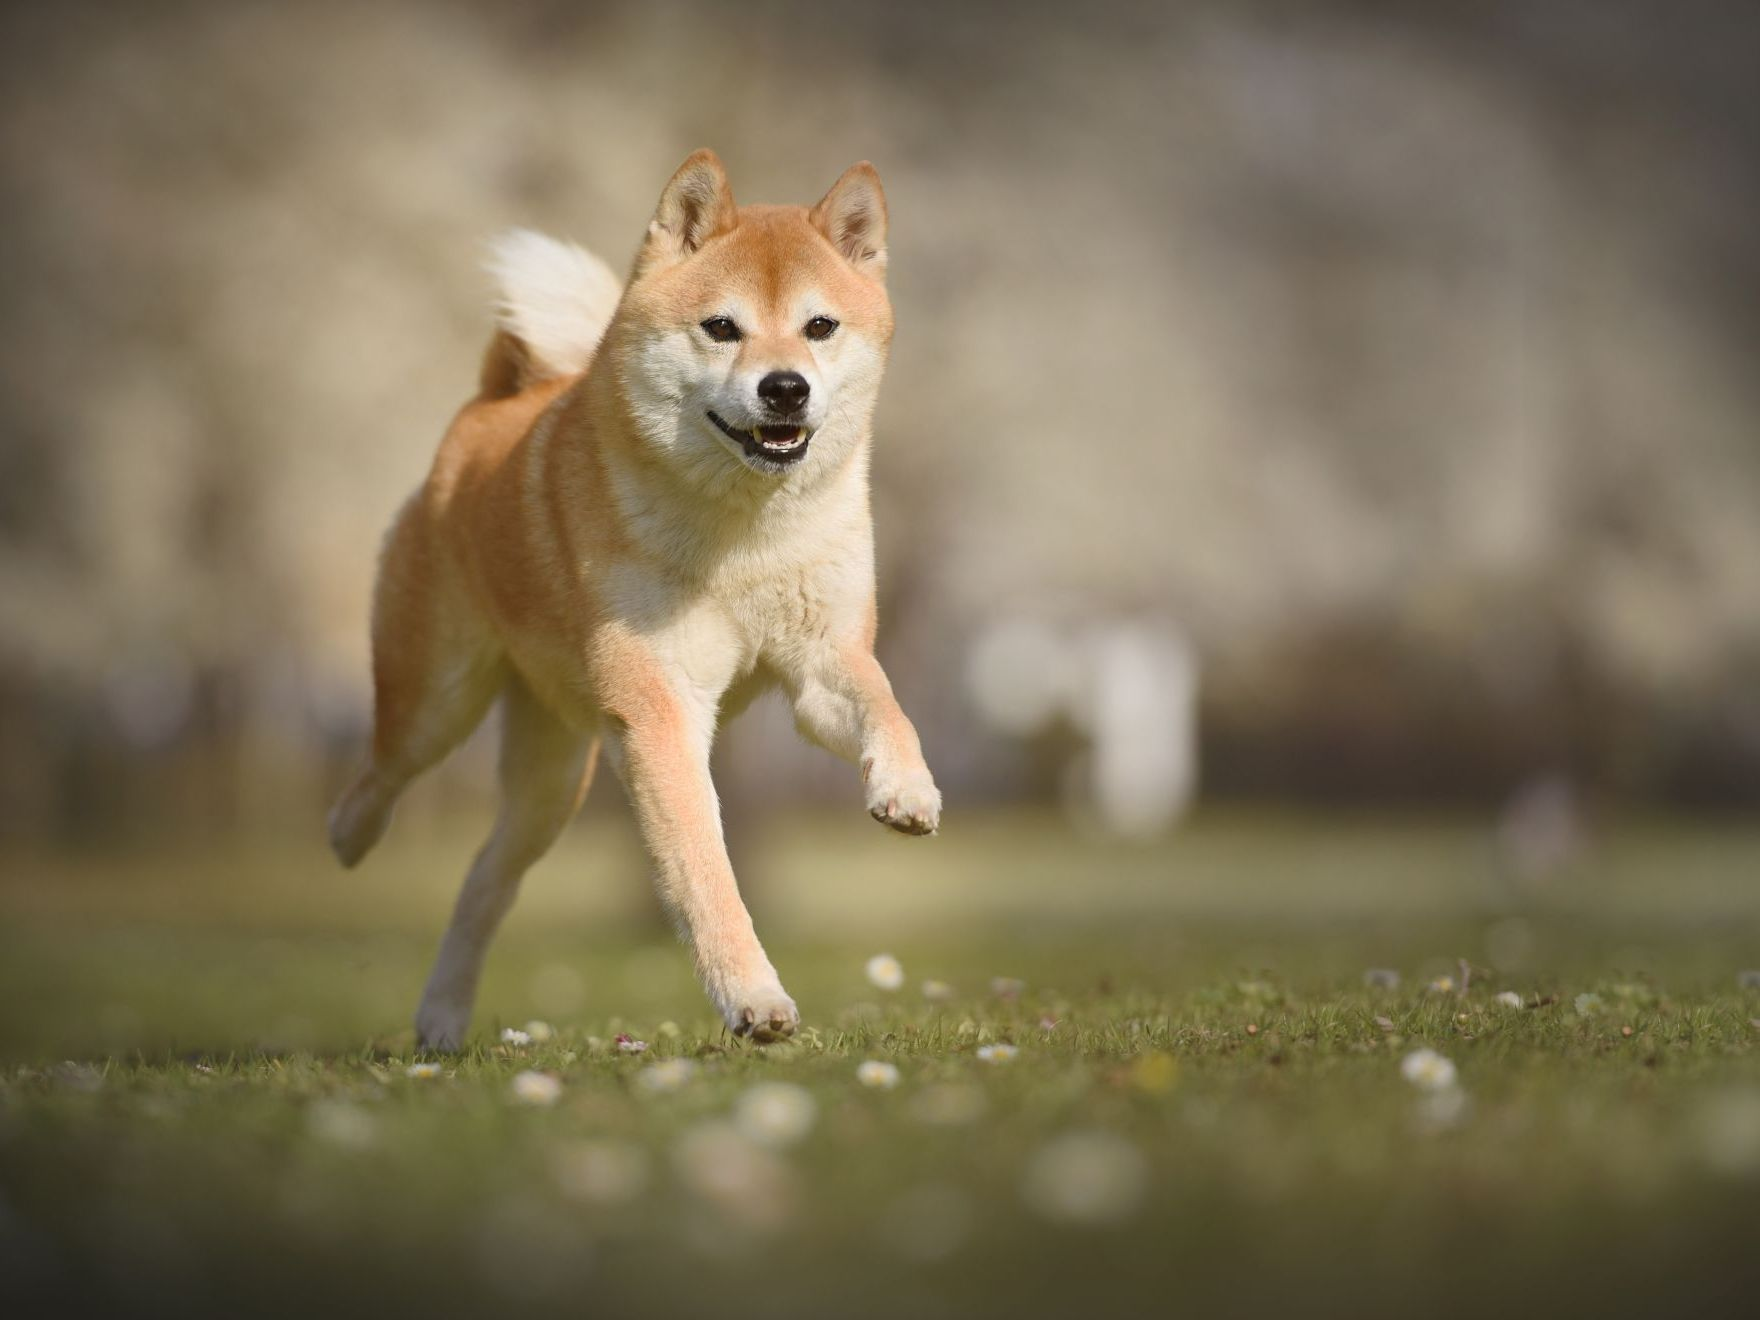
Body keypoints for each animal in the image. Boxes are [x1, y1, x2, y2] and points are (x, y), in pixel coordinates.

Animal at [325, 149, 943, 1048]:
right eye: (721, 327)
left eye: (821, 327)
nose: (785, 388)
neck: (743, 536)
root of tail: (490, 406)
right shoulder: (661, 708)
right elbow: (704, 871)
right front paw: (752, 998)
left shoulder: (824, 662)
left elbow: (886, 706)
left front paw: (907, 788)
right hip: (438, 699)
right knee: (383, 765)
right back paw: (348, 835)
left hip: (552, 781)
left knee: (485, 878)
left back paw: (441, 1017)